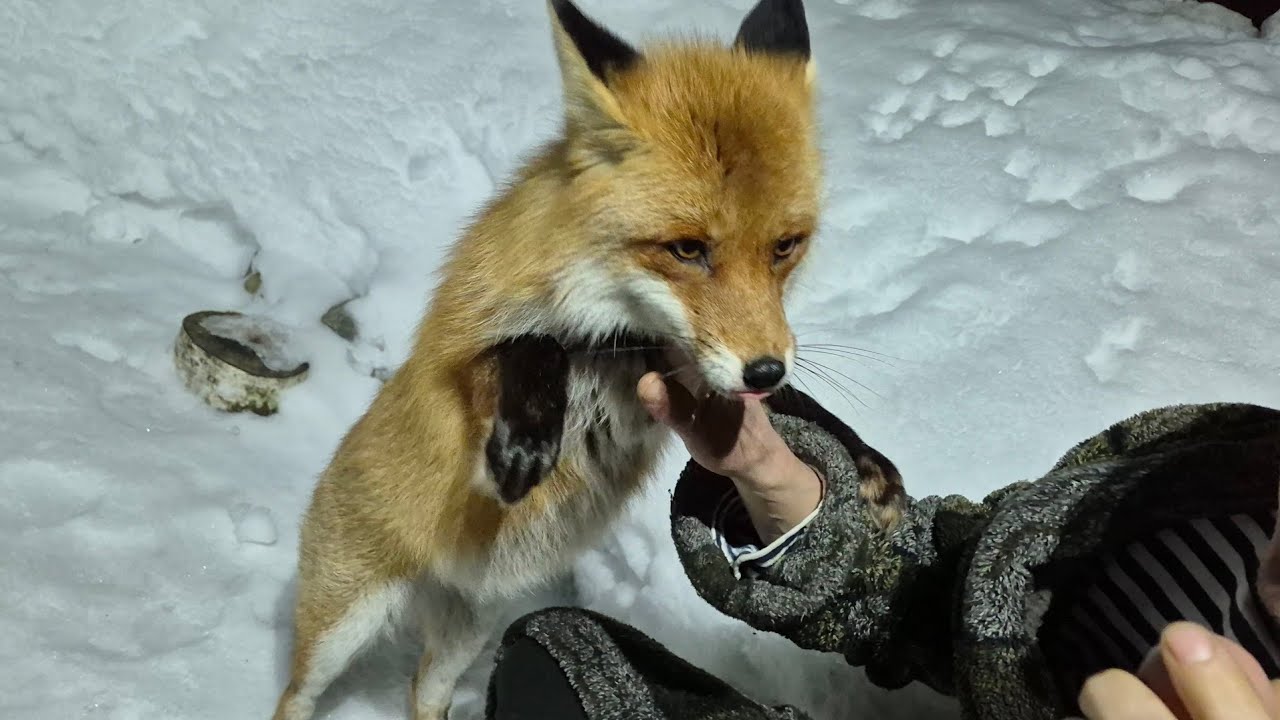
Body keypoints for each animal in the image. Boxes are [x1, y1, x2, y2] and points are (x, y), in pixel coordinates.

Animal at [271, 1, 906, 719]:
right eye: (687, 249)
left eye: (785, 246)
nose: (765, 369)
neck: (620, 340)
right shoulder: (456, 368)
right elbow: (530, 345)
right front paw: (526, 439)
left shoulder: (693, 368)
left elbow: (799, 403)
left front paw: (865, 464)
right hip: (340, 631)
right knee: (296, 696)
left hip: (464, 635)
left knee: (422, 692)